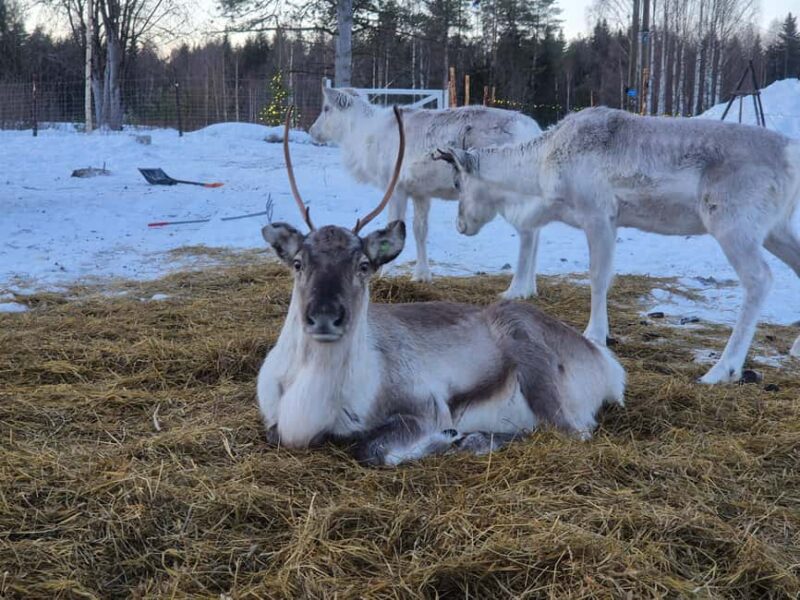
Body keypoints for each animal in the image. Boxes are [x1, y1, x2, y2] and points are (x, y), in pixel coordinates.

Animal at [308, 86, 543, 299]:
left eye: (327, 108)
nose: (312, 131)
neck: (361, 136)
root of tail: (534, 131)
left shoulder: (396, 187)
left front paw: (383, 274)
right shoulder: (420, 192)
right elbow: (420, 230)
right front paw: (421, 275)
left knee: (527, 232)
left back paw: (517, 290)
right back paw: (531, 288)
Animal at [435, 106, 800, 385]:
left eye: (457, 183)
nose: (460, 225)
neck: (539, 171)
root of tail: (790, 154)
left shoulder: (598, 215)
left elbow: (598, 276)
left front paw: (596, 334)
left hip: (733, 224)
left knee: (760, 279)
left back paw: (722, 369)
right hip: (776, 229)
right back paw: (794, 348)